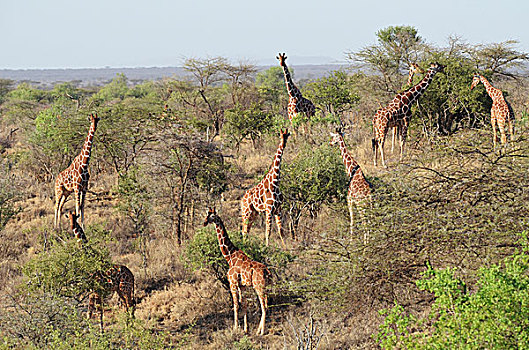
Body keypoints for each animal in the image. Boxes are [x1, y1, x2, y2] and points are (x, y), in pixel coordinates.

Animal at [202, 206, 268, 334]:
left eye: (212, 216)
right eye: (206, 214)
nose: (204, 222)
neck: (230, 257)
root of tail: (267, 272)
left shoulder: (232, 283)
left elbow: (236, 305)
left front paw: (235, 327)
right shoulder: (242, 285)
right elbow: (244, 304)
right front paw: (245, 329)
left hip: (259, 287)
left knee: (264, 306)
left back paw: (261, 332)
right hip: (265, 287)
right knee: (266, 304)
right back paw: (258, 330)